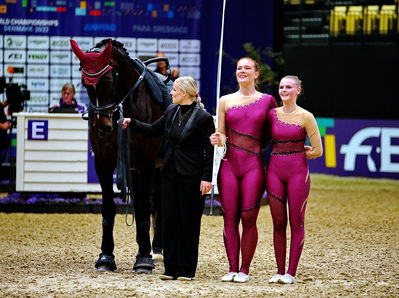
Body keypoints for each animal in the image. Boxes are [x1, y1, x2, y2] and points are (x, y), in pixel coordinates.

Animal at [71, 39, 170, 272]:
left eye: (108, 80)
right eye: (85, 83)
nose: (102, 127)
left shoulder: (146, 165)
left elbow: (143, 209)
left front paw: (143, 259)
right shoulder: (104, 163)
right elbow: (108, 209)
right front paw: (106, 257)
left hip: (160, 167)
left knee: (157, 204)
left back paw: (157, 250)